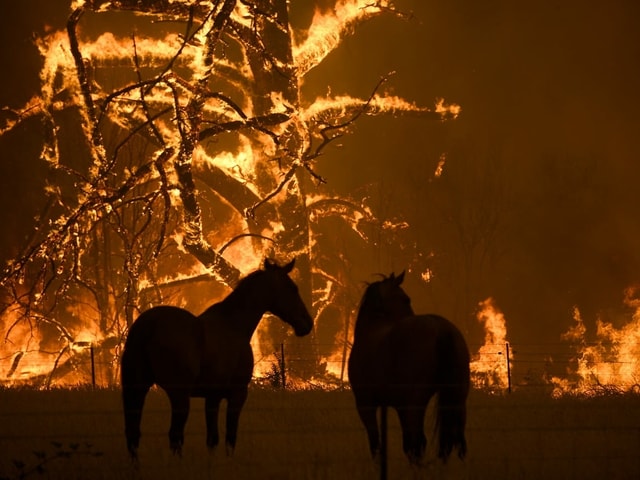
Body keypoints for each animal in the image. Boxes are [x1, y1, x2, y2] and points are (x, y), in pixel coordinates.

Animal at [121, 260, 314, 460]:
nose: (307, 323)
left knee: (133, 434)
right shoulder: (237, 394)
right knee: (174, 437)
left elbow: (212, 439)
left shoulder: (212, 396)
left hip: (137, 388)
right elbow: (230, 437)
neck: (234, 326)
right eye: (292, 288)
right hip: (178, 395)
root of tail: (147, 326)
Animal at [350, 274, 470, 464]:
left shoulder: (365, 404)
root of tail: (440, 327)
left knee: (418, 441)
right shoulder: (399, 407)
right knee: (456, 440)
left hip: (416, 402)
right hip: (458, 398)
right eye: (406, 299)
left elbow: (376, 443)